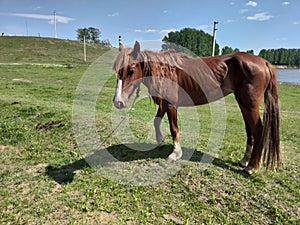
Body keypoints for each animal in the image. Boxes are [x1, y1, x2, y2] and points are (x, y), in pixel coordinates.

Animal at [112, 40, 282, 174]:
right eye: (116, 72)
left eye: (131, 70)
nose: (118, 102)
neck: (165, 72)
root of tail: (265, 63)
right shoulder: (164, 103)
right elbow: (156, 121)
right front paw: (160, 141)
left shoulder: (171, 105)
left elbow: (174, 129)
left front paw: (175, 154)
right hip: (243, 104)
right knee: (250, 130)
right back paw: (245, 160)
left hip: (249, 105)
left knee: (258, 130)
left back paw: (252, 166)